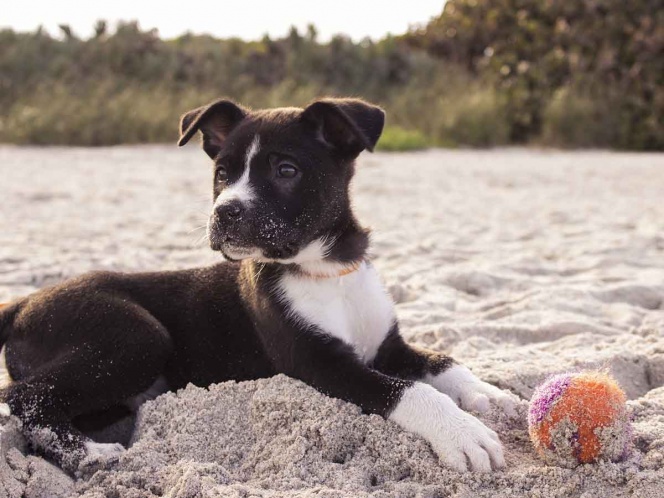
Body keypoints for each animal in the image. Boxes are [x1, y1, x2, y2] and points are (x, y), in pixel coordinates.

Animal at [0, 98, 517, 473]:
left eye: (286, 170)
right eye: (221, 174)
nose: (224, 212)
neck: (324, 270)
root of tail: (24, 301)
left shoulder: (387, 345)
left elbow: (442, 361)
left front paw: (487, 394)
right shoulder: (319, 363)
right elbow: (408, 391)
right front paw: (462, 433)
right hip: (136, 336)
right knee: (24, 398)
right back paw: (90, 454)